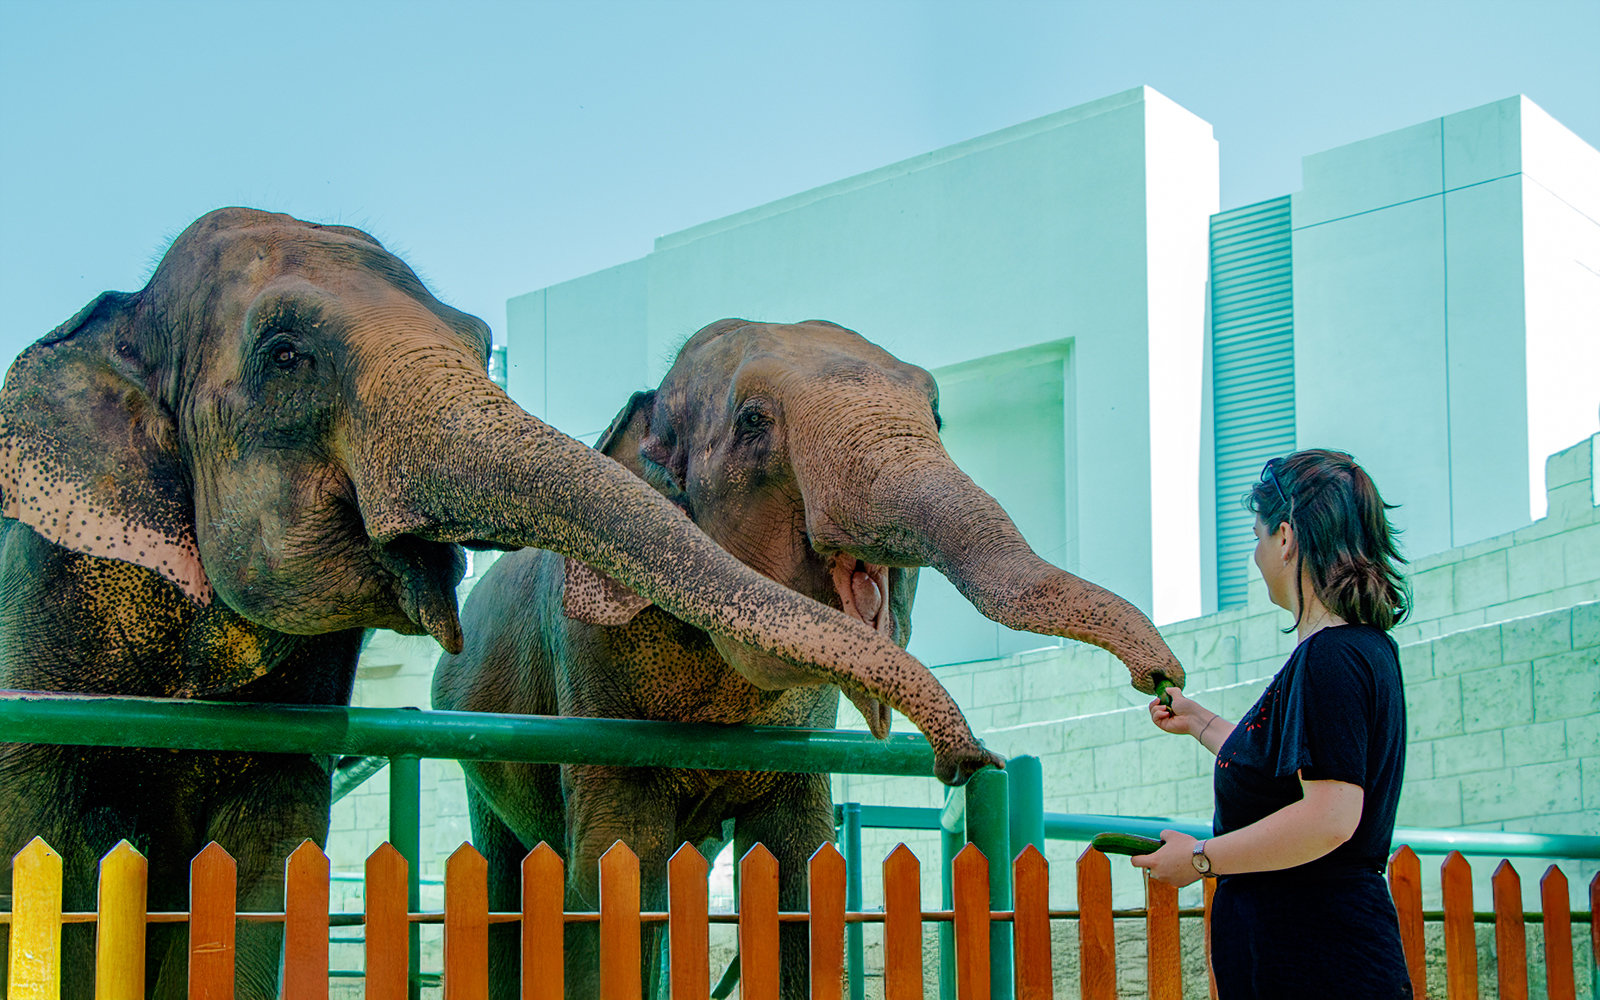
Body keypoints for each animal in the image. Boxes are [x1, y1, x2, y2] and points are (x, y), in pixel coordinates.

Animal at [432, 318, 1187, 998]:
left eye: (938, 414)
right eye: (753, 421)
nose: (1162, 681)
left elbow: (797, 859)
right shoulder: (589, 670)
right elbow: (616, 859)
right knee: (509, 871)